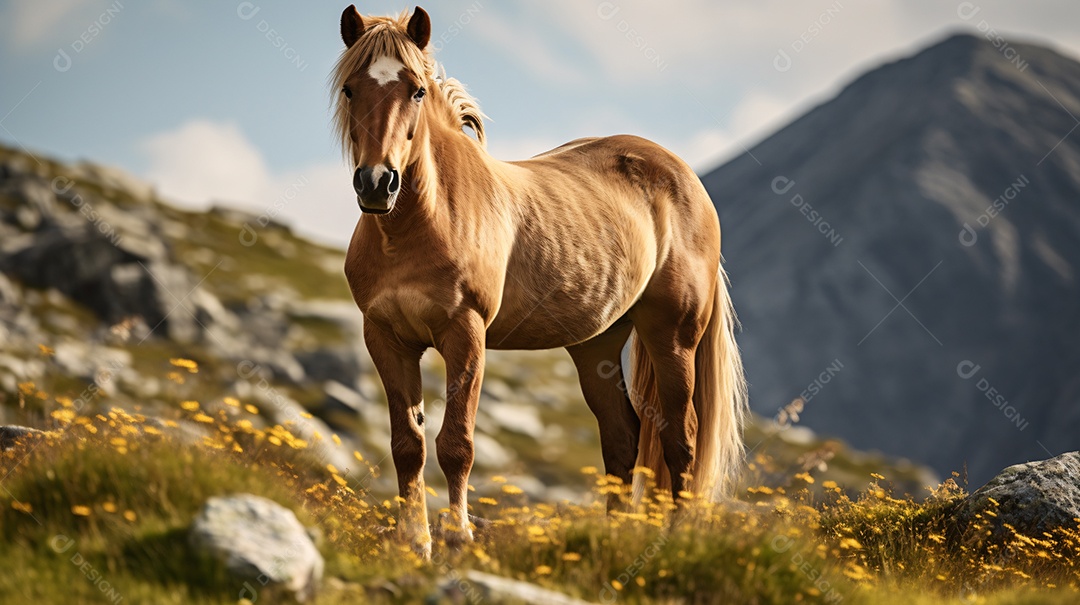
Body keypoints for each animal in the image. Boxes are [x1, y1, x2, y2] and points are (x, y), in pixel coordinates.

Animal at [332, 5, 747, 557]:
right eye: (350, 88)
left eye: (417, 90)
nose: (377, 183)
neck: (416, 226)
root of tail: (687, 178)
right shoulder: (386, 338)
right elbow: (408, 446)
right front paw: (414, 543)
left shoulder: (465, 334)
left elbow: (456, 443)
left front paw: (457, 537)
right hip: (596, 346)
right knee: (622, 436)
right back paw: (611, 541)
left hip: (673, 337)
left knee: (682, 440)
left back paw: (677, 543)